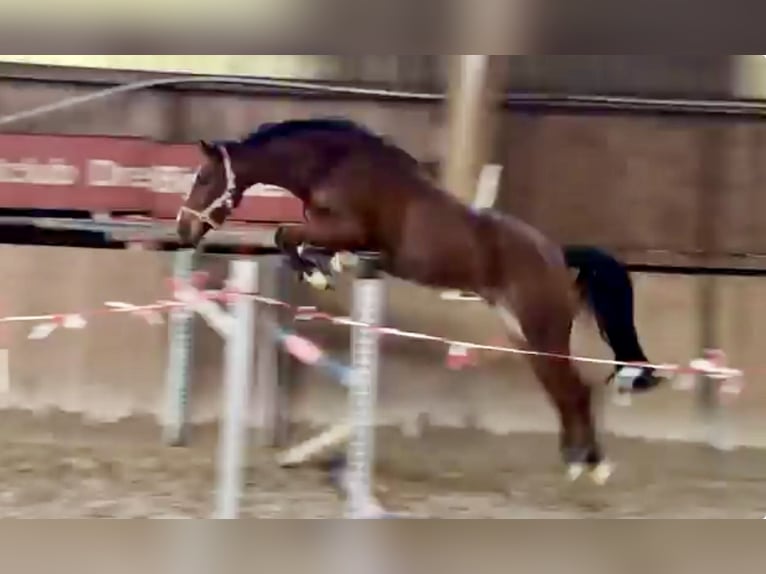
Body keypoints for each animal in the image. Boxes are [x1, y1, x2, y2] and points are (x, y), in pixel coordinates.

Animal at [176, 117, 663, 483]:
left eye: (203, 177)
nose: (184, 230)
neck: (335, 165)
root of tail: (557, 254)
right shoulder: (340, 237)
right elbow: (295, 242)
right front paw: (321, 270)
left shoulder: (349, 231)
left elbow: (286, 235)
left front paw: (318, 275)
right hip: (525, 337)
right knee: (562, 390)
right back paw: (577, 460)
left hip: (543, 330)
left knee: (575, 390)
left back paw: (591, 465)